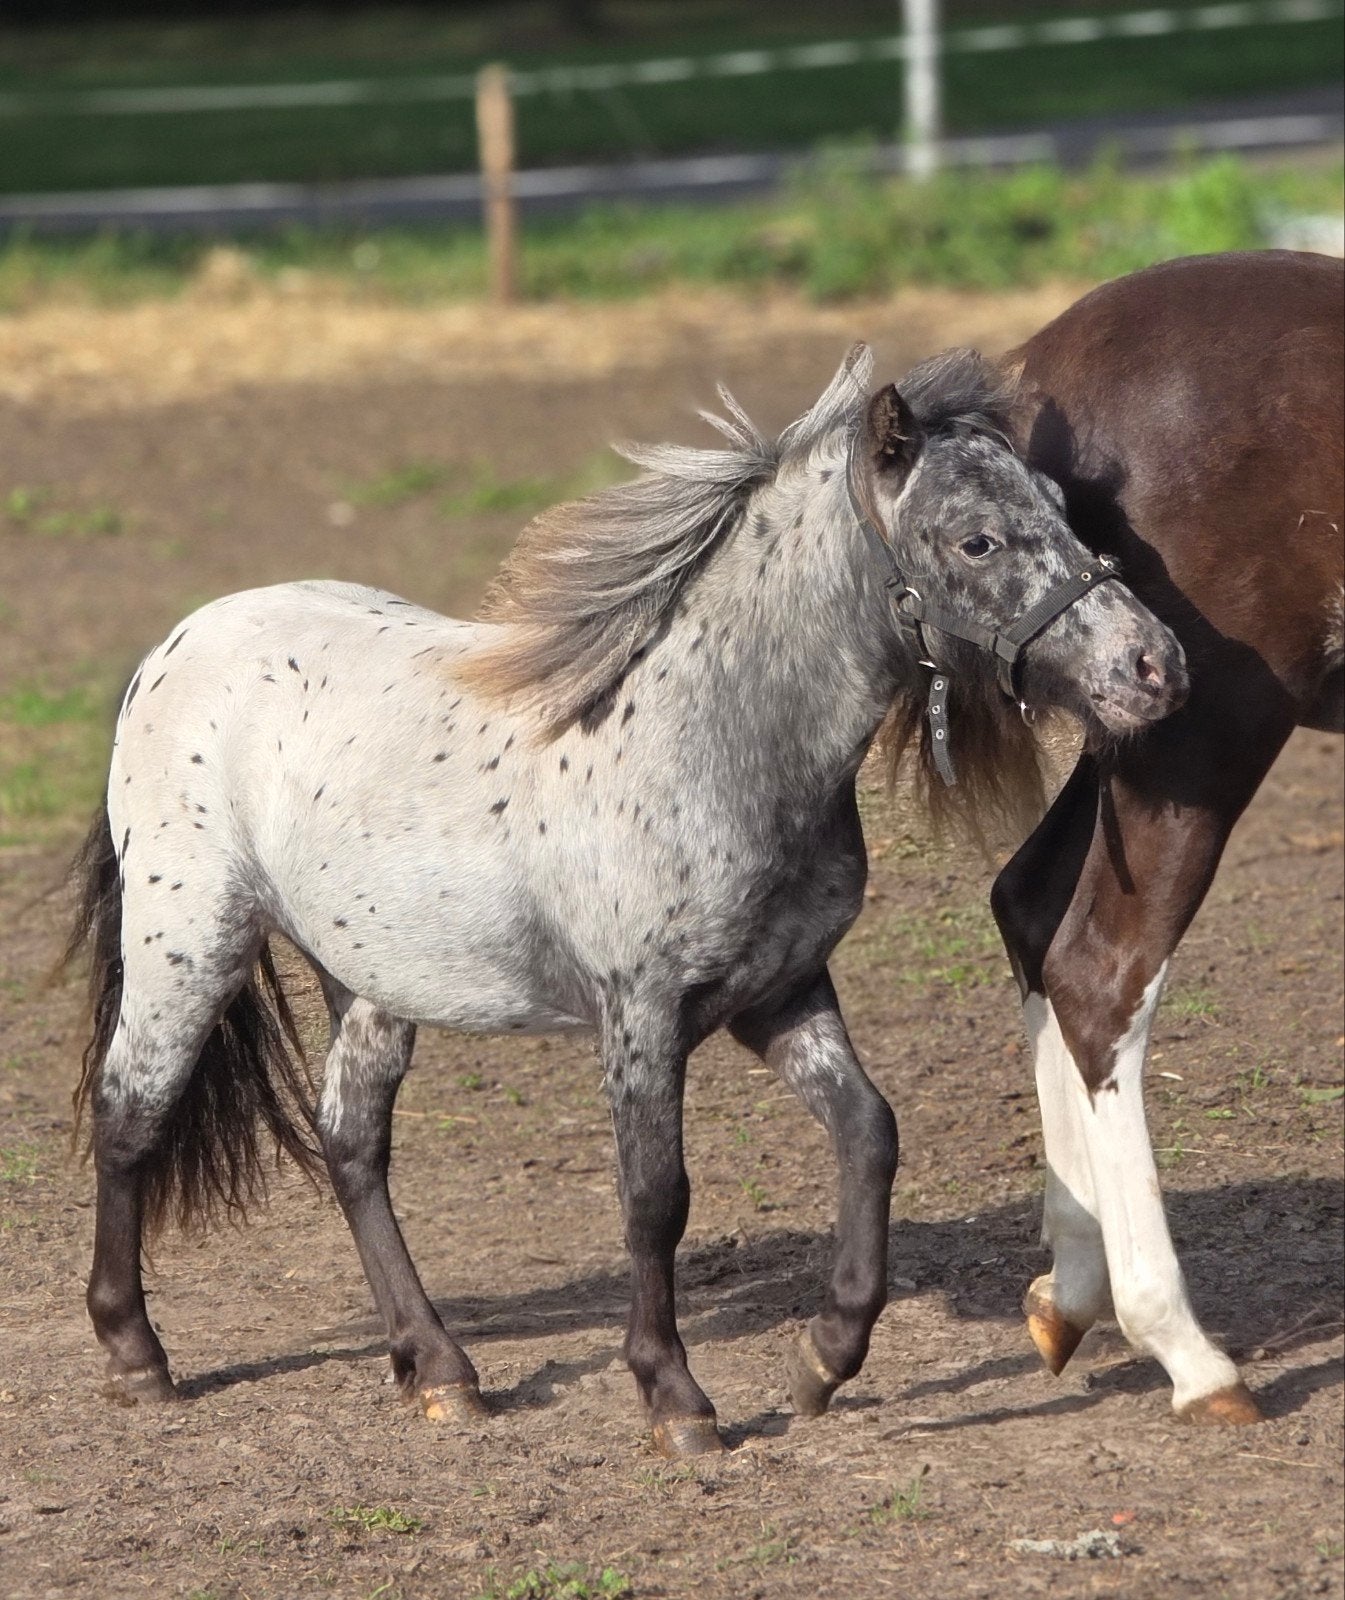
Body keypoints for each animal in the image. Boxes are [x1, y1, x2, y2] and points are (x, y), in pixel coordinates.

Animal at [65, 344, 1185, 1459]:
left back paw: (440, 1372)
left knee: (350, 1143)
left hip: (368, 980)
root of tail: (170, 648)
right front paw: (676, 1399)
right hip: (189, 940)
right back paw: (136, 1357)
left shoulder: (779, 993)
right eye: (975, 539)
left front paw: (825, 1360)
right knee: (129, 1113)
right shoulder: (641, 1014)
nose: (1154, 668)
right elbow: (655, 1197)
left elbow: (869, 1132)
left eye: (1062, 506)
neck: (705, 740)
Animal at [984, 250, 1343, 1425]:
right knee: (1099, 971)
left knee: (1028, 907)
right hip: (1202, 735)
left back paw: (1070, 1288)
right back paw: (1186, 1349)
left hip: (1127, 732)